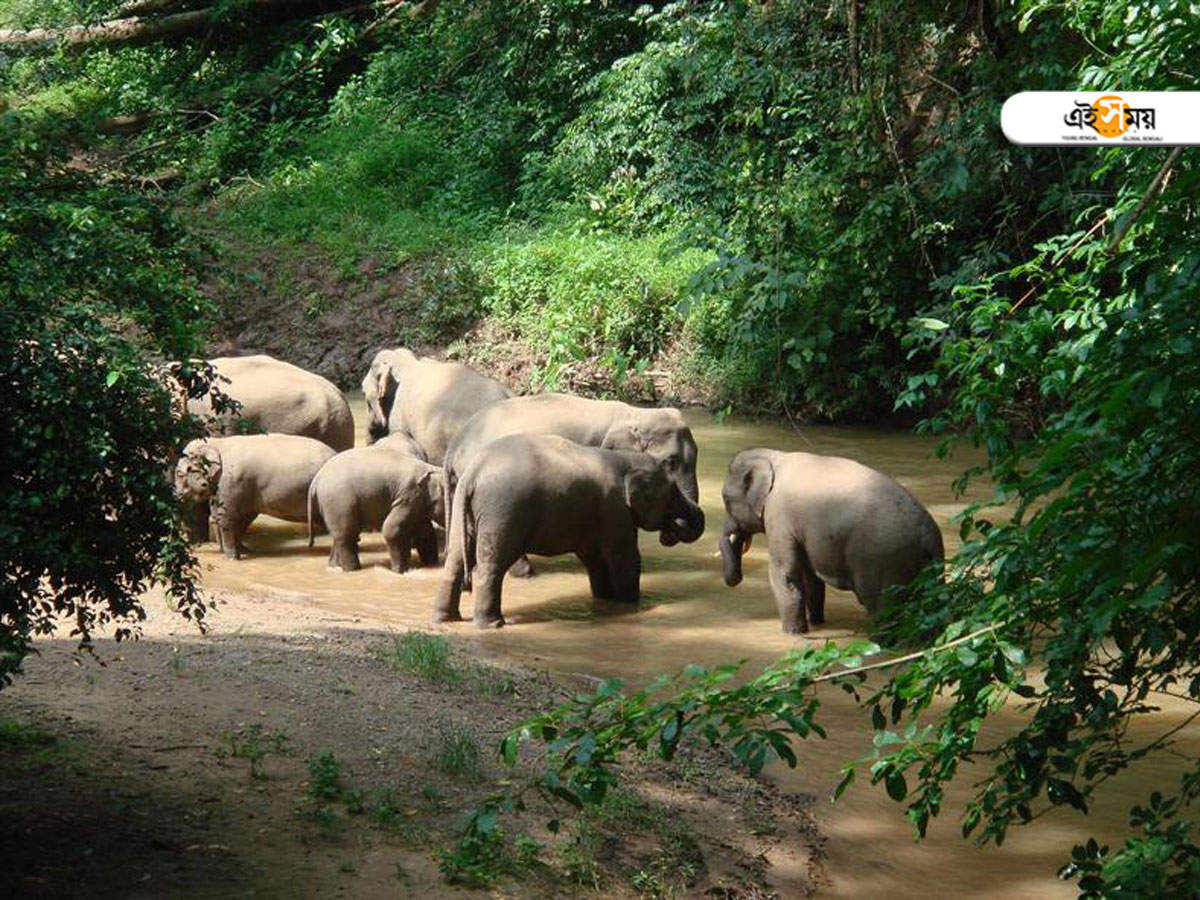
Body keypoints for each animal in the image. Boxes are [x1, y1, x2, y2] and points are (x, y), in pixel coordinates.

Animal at [174, 434, 336, 559]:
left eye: (180, 474)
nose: (177, 495)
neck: (217, 443)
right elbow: (242, 518)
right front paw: (245, 551)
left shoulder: (231, 482)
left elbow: (227, 518)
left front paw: (232, 557)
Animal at [307, 447, 445, 573]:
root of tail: (316, 479)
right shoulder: (408, 496)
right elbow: (391, 529)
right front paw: (400, 571)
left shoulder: (418, 504)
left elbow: (425, 532)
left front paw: (431, 564)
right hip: (339, 501)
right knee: (347, 534)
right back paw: (353, 570)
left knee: (339, 536)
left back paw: (334, 567)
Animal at [434, 434, 706, 629]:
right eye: (672, 493)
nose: (673, 528)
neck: (622, 459)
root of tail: (474, 472)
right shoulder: (615, 511)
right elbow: (626, 559)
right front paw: (631, 605)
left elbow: (596, 561)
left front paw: (605, 601)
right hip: (501, 512)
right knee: (491, 566)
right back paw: (492, 625)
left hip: (463, 509)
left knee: (454, 562)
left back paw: (445, 619)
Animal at [718, 448, 944, 634]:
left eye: (725, 499)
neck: (774, 456)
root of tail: (928, 535)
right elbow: (811, 578)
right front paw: (816, 623)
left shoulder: (779, 516)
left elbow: (785, 573)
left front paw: (794, 633)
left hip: (884, 563)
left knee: (882, 610)